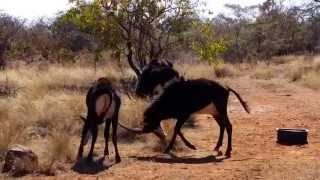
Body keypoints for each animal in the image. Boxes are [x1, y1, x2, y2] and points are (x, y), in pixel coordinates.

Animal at [120, 62, 250, 158]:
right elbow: (177, 129)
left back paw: (228, 151)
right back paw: (217, 148)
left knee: (228, 126)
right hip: (215, 113)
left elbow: (177, 129)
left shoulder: (185, 114)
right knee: (222, 126)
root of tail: (226, 87)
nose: (137, 91)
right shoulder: (180, 116)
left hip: (221, 109)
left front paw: (171, 149)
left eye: (150, 123)